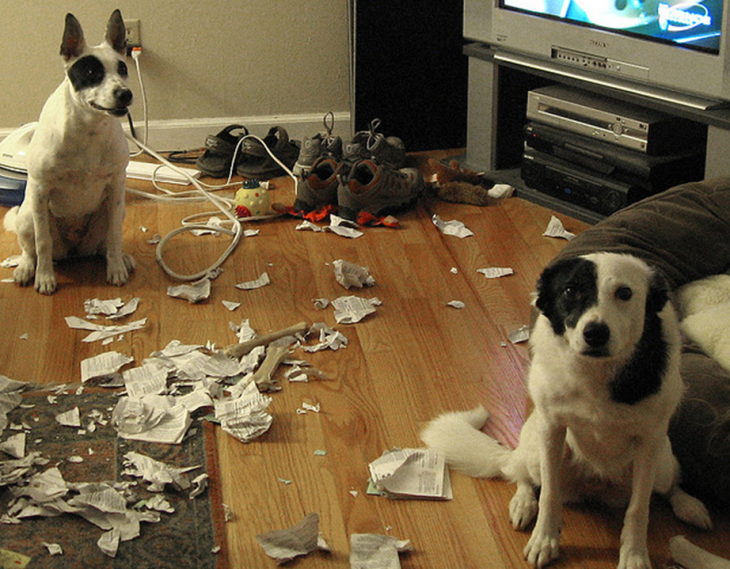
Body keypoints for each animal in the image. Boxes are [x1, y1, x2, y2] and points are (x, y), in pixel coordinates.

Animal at [3, 10, 134, 292]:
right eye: (92, 72)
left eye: (123, 68)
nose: (125, 94)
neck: (88, 128)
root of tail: (74, 250)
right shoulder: (40, 190)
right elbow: (42, 242)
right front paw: (44, 278)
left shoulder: (116, 187)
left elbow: (115, 237)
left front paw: (116, 268)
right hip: (27, 215)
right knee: (30, 248)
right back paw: (26, 268)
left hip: (114, 213)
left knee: (105, 244)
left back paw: (121, 259)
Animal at [420, 252, 712, 568]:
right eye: (570, 291)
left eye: (624, 293)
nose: (595, 333)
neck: (595, 373)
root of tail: (595, 486)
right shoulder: (552, 430)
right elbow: (549, 494)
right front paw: (544, 541)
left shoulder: (649, 444)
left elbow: (639, 509)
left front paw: (634, 555)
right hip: (535, 451)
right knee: (522, 475)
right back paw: (523, 503)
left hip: (662, 461)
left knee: (668, 486)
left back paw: (690, 506)